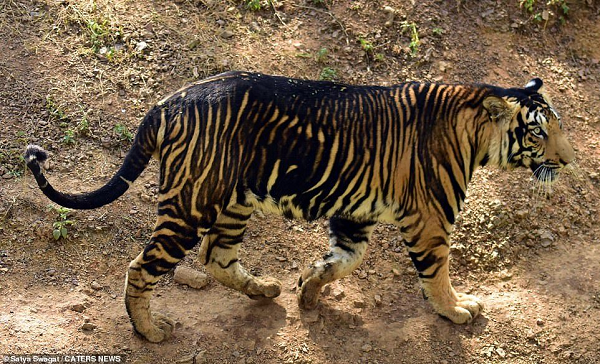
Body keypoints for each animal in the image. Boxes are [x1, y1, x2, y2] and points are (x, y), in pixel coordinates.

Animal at [24, 71, 576, 342]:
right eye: (540, 133)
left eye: (559, 128)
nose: (569, 160)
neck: (476, 134)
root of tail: (169, 100)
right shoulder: (430, 220)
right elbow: (437, 274)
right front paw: (457, 310)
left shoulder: (354, 214)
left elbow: (343, 260)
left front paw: (307, 291)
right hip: (192, 204)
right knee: (142, 266)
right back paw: (150, 331)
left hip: (233, 201)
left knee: (216, 257)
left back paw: (265, 290)